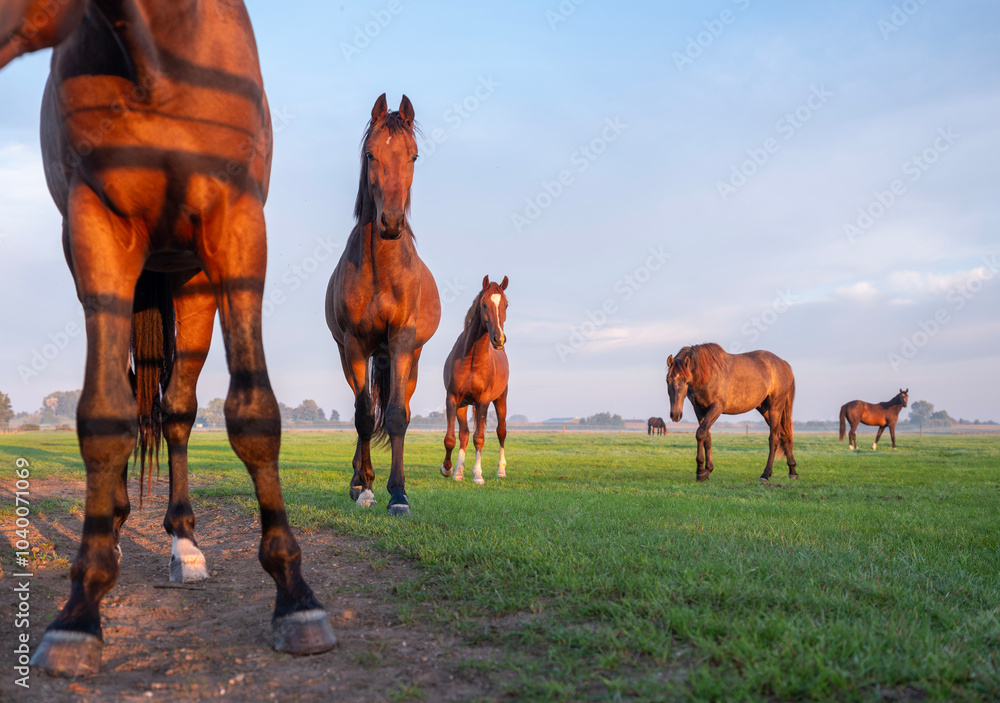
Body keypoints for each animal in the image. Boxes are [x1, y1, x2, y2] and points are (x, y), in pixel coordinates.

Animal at [1, 0, 336, 675]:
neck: (159, 63)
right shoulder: (97, 230)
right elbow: (105, 415)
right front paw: (80, 609)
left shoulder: (237, 226)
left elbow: (254, 413)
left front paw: (295, 597)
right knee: (139, 399)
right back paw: (118, 527)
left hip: (193, 284)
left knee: (178, 409)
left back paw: (185, 541)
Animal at [325, 94, 441, 515]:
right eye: (371, 154)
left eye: (414, 155)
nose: (390, 222)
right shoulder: (355, 344)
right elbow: (363, 416)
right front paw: (366, 487)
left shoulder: (403, 342)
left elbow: (394, 416)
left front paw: (399, 494)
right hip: (350, 356)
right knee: (361, 408)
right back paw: (360, 479)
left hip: (409, 360)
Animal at [440, 276, 510, 484]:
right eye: (484, 304)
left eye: (506, 305)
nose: (498, 339)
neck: (472, 358)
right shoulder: (453, 398)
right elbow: (451, 438)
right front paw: (448, 469)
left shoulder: (483, 401)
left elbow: (479, 438)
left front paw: (478, 474)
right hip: (463, 405)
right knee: (463, 434)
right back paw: (459, 472)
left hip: (500, 400)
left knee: (501, 431)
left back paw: (501, 470)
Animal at [665, 343, 797, 481]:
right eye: (667, 381)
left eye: (686, 381)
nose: (675, 415)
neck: (708, 374)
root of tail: (784, 364)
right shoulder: (700, 410)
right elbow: (707, 437)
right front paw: (708, 470)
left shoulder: (717, 407)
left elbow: (700, 433)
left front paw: (700, 472)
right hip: (764, 409)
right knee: (784, 435)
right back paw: (792, 471)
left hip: (775, 408)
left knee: (774, 438)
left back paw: (765, 474)